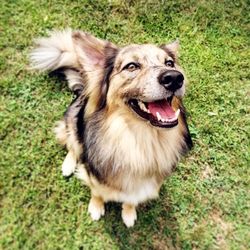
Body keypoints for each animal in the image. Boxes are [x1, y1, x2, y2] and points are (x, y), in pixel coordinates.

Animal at [30, 30, 192, 228]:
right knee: (73, 144)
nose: (174, 78)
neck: (140, 141)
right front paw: (96, 207)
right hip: (72, 121)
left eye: (169, 63)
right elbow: (97, 192)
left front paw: (128, 213)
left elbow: (131, 199)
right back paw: (68, 164)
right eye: (131, 66)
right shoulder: (93, 175)